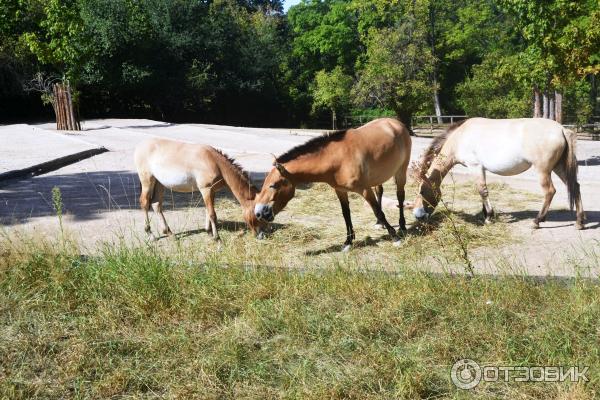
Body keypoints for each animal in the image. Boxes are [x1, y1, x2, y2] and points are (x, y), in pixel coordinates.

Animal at [136, 138, 268, 241]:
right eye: (257, 214)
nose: (262, 235)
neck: (215, 162)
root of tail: (140, 146)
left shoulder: (211, 191)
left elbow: (208, 211)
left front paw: (209, 232)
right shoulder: (206, 189)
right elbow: (212, 214)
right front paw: (217, 238)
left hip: (159, 183)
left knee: (156, 204)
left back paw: (169, 233)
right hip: (147, 180)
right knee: (145, 202)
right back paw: (150, 234)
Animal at [253, 117, 412, 252]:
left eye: (273, 185)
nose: (258, 213)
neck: (338, 158)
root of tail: (396, 123)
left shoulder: (365, 189)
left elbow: (378, 211)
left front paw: (395, 238)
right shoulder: (340, 190)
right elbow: (346, 214)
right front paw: (348, 243)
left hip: (401, 171)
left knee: (400, 196)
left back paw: (402, 226)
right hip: (379, 176)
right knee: (380, 191)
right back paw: (379, 223)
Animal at [412, 117, 584, 230]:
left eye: (422, 191)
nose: (417, 215)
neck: (460, 137)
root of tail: (561, 129)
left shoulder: (475, 167)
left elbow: (482, 191)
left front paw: (488, 217)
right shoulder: (481, 169)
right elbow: (483, 192)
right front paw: (485, 214)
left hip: (543, 170)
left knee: (550, 191)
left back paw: (537, 221)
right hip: (558, 167)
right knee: (575, 186)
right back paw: (580, 222)